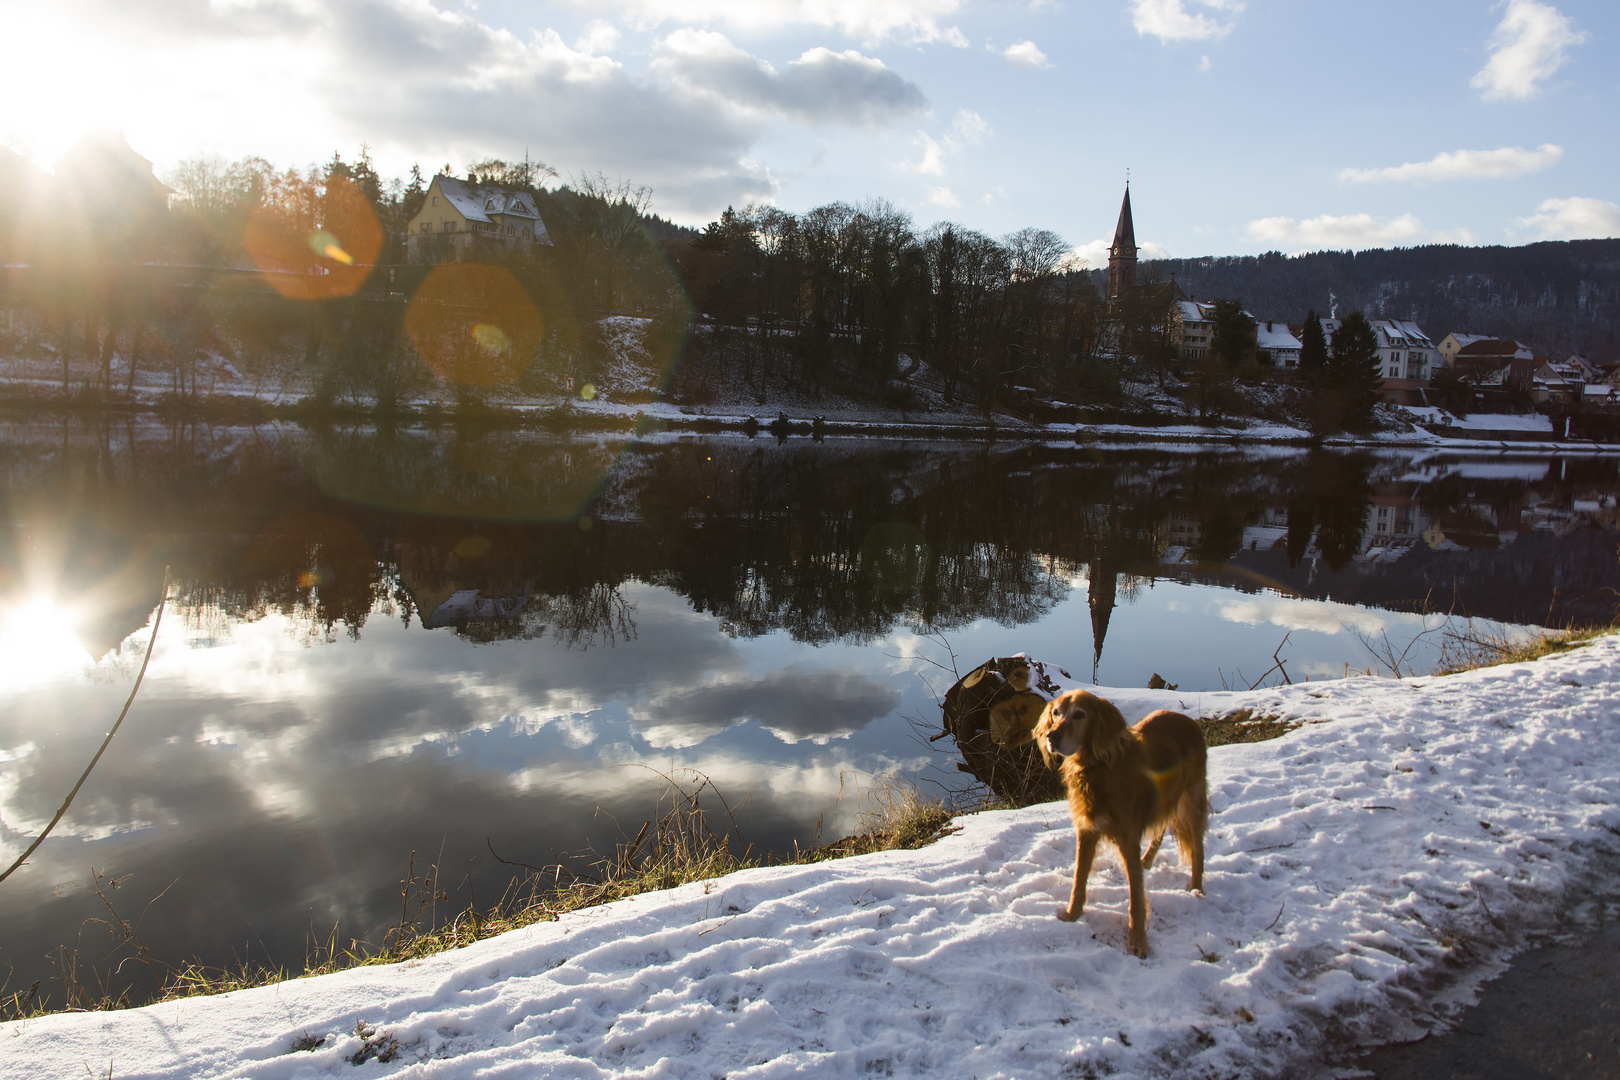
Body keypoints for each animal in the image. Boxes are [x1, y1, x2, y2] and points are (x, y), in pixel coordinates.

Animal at [1030, 689, 1211, 958]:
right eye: (1056, 713)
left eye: (1080, 715)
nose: (1052, 736)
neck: (1098, 768)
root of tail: (1189, 720)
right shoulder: (1087, 830)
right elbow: (1079, 878)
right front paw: (1073, 914)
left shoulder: (1127, 837)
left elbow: (1136, 897)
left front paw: (1137, 941)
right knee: (1161, 829)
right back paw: (1147, 861)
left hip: (1192, 802)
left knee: (1197, 848)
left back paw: (1196, 889)